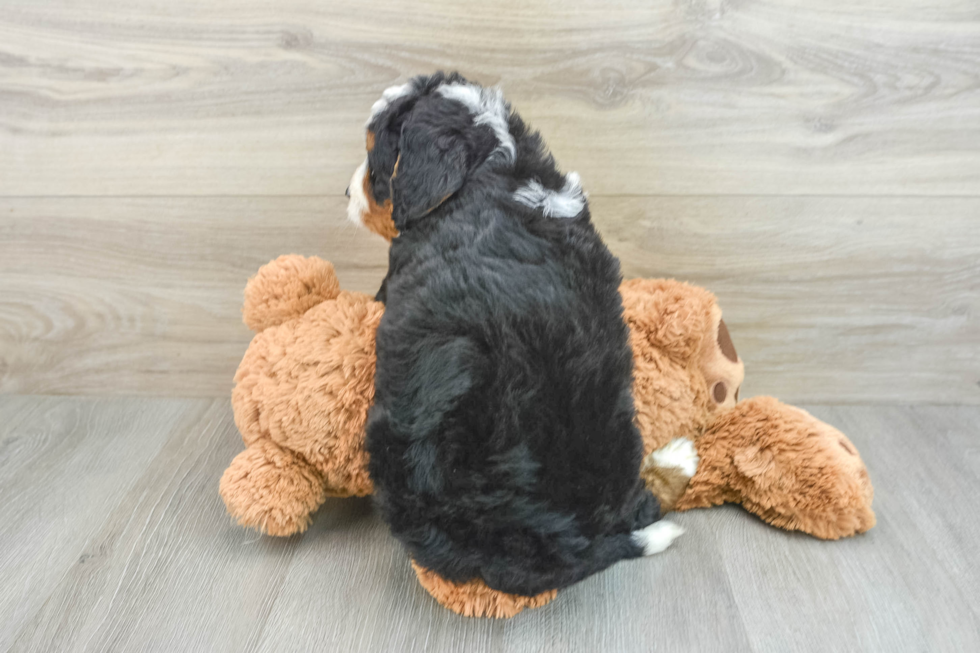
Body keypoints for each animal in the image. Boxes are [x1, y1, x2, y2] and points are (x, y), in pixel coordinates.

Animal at [348, 71, 692, 596]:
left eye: (374, 159)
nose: (345, 194)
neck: (494, 168)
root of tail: (572, 542)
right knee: (640, 503)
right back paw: (676, 460)